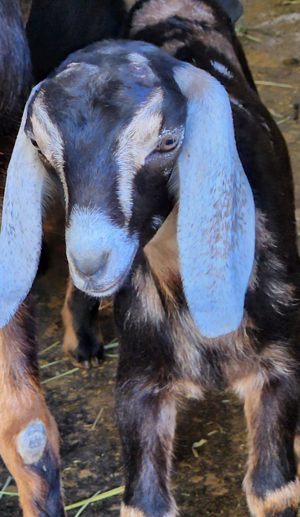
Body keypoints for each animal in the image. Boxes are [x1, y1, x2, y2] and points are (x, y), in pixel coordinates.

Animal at [0, 1, 300, 516]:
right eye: (39, 145)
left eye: (167, 141)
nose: (92, 260)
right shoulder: (139, 380)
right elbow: (144, 500)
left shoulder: (280, 361)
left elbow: (273, 489)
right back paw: (83, 342)